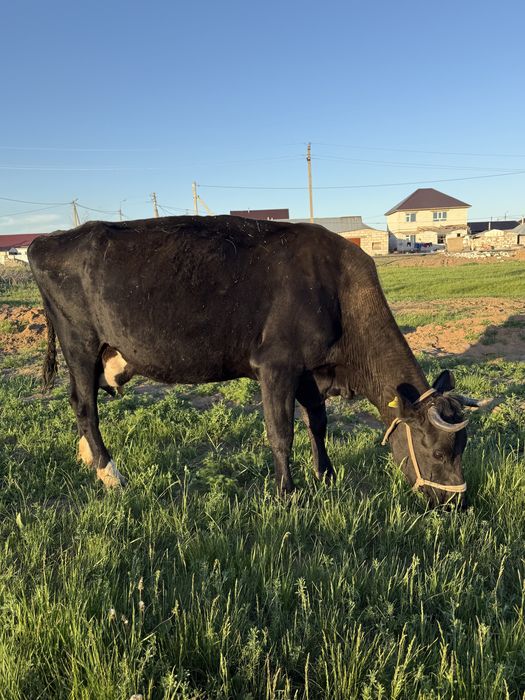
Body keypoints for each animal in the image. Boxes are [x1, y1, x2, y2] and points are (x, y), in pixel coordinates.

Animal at [28, 215, 473, 507]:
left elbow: (318, 424)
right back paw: (109, 472)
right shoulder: (275, 366)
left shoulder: (310, 373)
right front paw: (286, 494)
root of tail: (49, 240)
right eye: (436, 453)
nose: (455, 503)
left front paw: (326, 477)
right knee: (85, 405)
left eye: (462, 447)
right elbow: (281, 433)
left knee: (81, 401)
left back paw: (88, 457)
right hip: (80, 341)